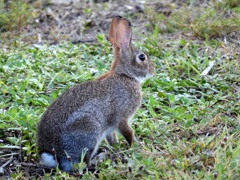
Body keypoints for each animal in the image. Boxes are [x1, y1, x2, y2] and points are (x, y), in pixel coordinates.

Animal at [36, 15, 155, 172]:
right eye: (142, 57)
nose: (153, 70)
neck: (125, 76)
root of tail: (51, 153)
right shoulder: (121, 117)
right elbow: (129, 133)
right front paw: (136, 147)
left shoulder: (110, 128)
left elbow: (112, 138)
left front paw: (117, 147)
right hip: (90, 131)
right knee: (83, 164)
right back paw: (100, 159)